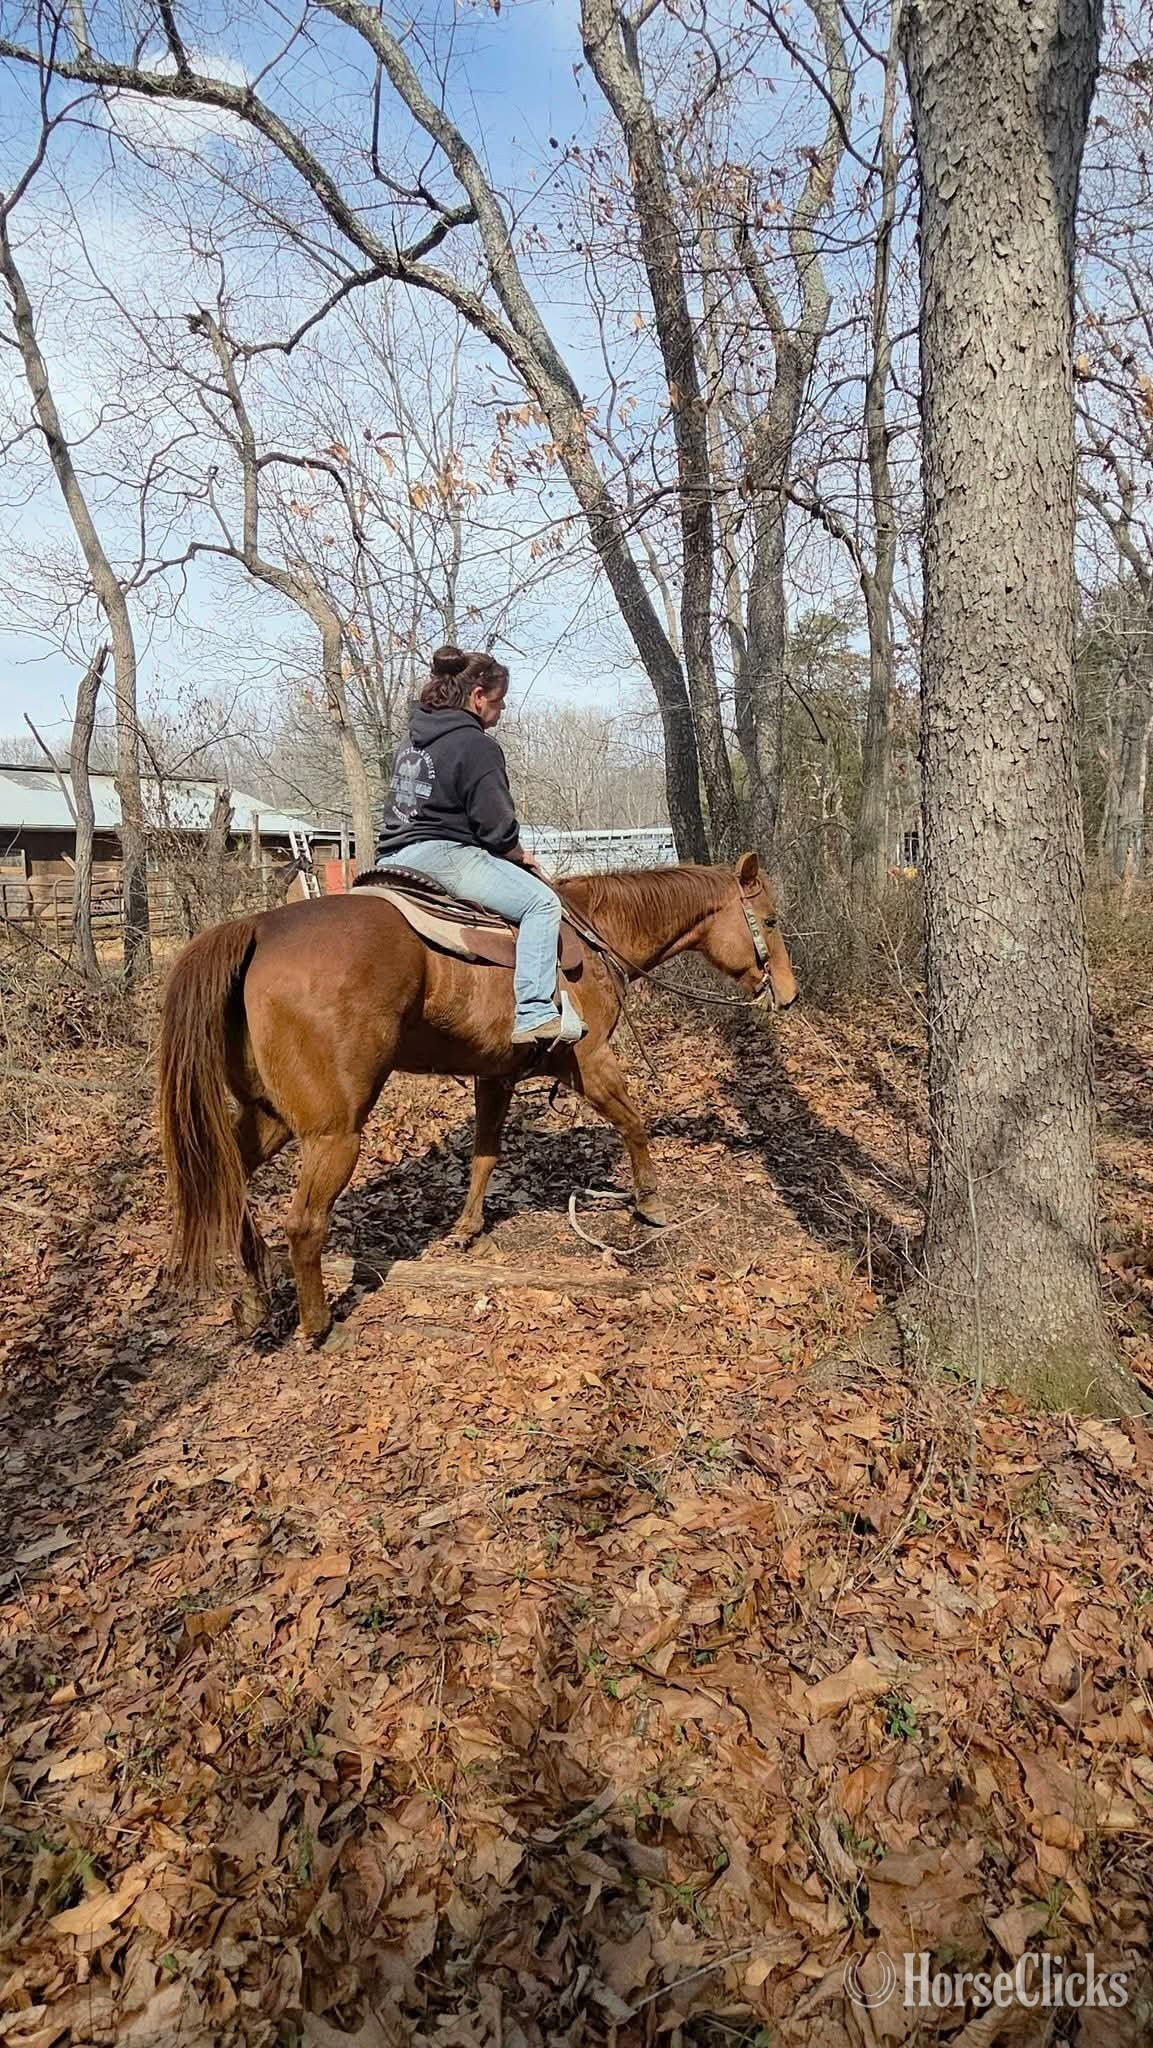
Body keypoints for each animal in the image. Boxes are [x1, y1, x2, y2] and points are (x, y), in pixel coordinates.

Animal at [157, 851, 798, 1344]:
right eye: (769, 918)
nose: (789, 995)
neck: (596, 937)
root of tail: (259, 928)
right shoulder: (589, 1063)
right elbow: (634, 1123)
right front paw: (650, 1200)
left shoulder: (497, 1076)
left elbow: (485, 1153)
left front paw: (467, 1227)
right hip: (333, 1132)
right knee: (304, 1223)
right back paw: (320, 1326)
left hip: (271, 1116)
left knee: (229, 1185)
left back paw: (254, 1299)